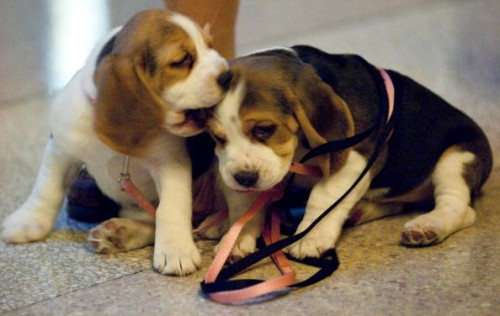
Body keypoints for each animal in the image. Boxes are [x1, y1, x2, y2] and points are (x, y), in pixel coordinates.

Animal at [0, 8, 230, 276]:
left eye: (211, 46)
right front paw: (28, 222)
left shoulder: (171, 164)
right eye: (182, 60)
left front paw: (176, 250)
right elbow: (46, 190)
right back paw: (119, 235)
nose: (228, 75)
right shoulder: (61, 148)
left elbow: (171, 207)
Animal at [203, 46, 492, 260]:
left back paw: (428, 226)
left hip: (458, 156)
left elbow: (322, 197)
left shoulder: (354, 158)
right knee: (396, 202)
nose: (244, 178)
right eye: (217, 138)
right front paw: (235, 236)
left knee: (459, 207)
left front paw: (311, 236)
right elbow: (245, 206)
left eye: (265, 129)